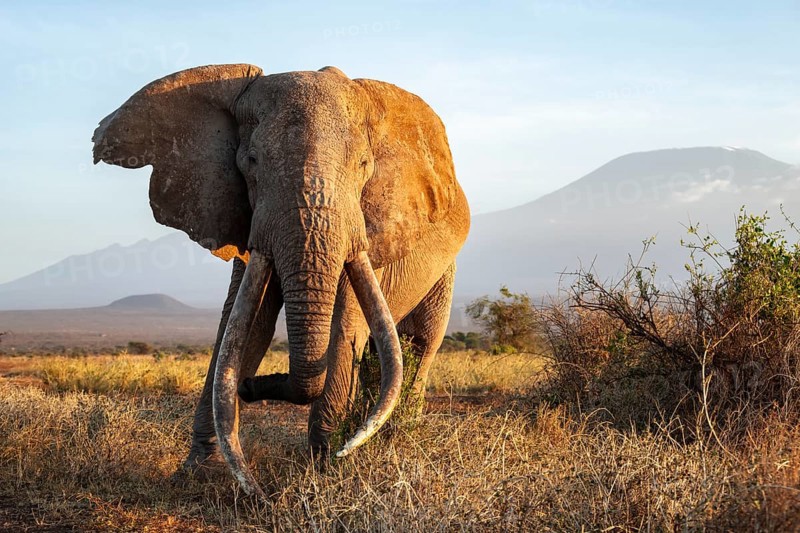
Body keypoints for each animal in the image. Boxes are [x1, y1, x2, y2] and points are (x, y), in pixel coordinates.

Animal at [91, 64, 470, 497]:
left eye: (363, 164)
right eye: (251, 161)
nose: (251, 387)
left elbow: (344, 323)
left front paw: (326, 468)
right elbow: (243, 326)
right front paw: (200, 474)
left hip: (445, 268)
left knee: (419, 341)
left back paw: (390, 437)